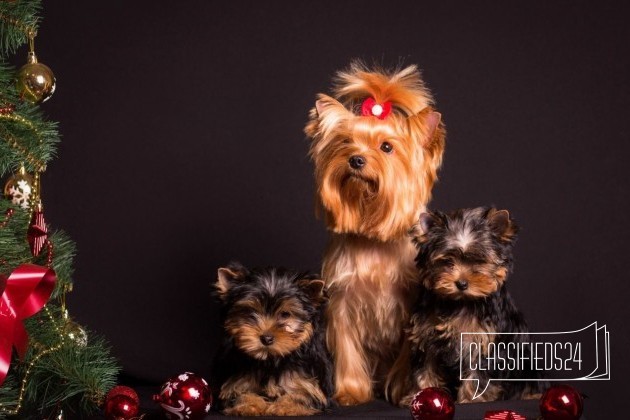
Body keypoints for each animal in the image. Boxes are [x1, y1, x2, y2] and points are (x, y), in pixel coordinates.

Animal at [212, 262, 336, 416]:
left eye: (285, 314)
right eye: (251, 312)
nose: (266, 338)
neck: (269, 360)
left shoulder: (310, 385)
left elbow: (302, 395)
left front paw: (284, 407)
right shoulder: (234, 383)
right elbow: (240, 394)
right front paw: (249, 405)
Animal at [304, 61, 444, 404]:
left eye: (387, 147)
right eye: (345, 142)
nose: (356, 160)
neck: (373, 238)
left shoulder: (411, 309)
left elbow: (408, 354)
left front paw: (407, 392)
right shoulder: (341, 302)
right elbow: (347, 350)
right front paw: (350, 393)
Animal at [400, 208, 544, 406]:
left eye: (479, 261)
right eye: (447, 262)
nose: (461, 283)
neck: (460, 302)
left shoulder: (483, 340)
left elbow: (478, 373)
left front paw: (471, 399)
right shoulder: (425, 334)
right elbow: (424, 367)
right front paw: (419, 394)